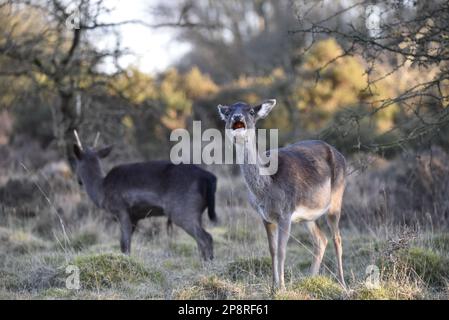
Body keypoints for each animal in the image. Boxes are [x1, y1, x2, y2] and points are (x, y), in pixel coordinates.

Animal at [72, 132, 217, 260]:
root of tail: (209, 178)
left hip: (183, 211)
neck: (101, 191)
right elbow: (126, 243)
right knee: (201, 241)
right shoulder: (135, 218)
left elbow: (124, 244)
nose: (78, 181)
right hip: (197, 213)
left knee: (206, 238)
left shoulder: (121, 210)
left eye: (76, 163)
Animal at [217, 99, 346, 290]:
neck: (266, 189)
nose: (237, 117)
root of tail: (340, 155)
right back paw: (310, 279)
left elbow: (282, 250)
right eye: (228, 112)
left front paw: (282, 287)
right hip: (308, 216)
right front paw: (273, 286)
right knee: (320, 240)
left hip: (337, 198)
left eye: (251, 111)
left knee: (337, 238)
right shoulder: (265, 217)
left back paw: (342, 283)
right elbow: (272, 250)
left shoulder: (285, 213)